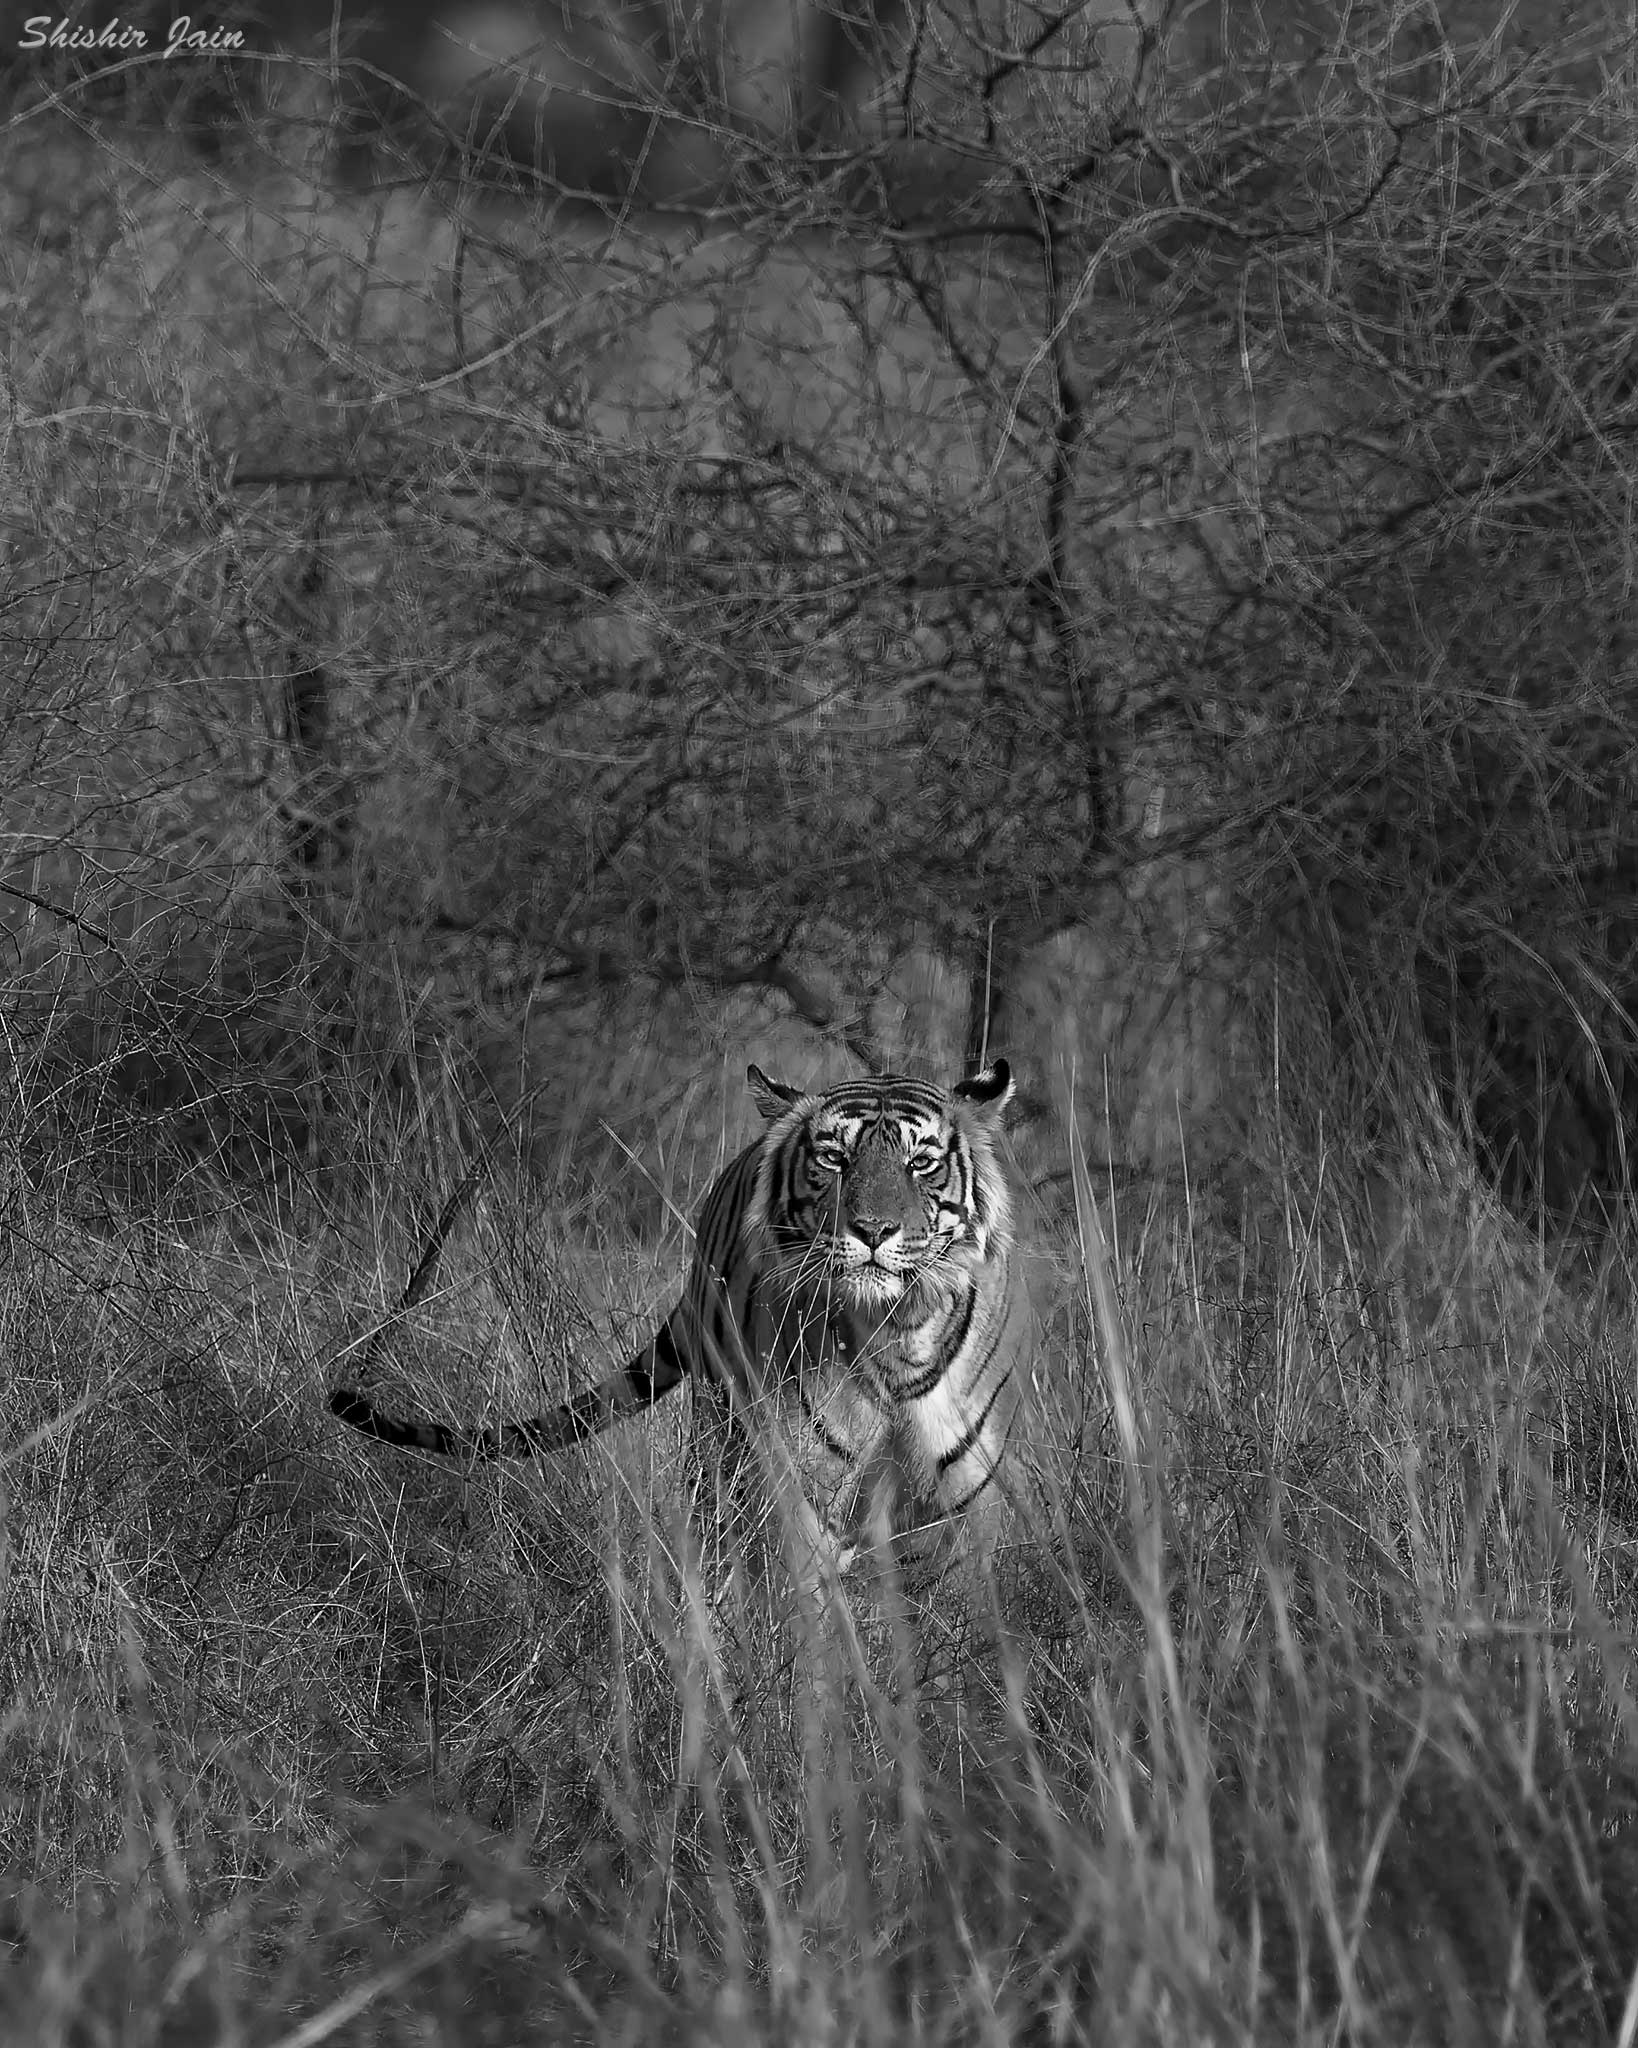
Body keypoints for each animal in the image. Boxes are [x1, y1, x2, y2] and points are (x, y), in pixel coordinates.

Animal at [325, 1064, 1031, 1589]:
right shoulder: (799, 1492)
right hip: (722, 1438)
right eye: (834, 1158)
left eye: (921, 1163)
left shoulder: (964, 1506)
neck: (896, 1329)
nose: (874, 1230)